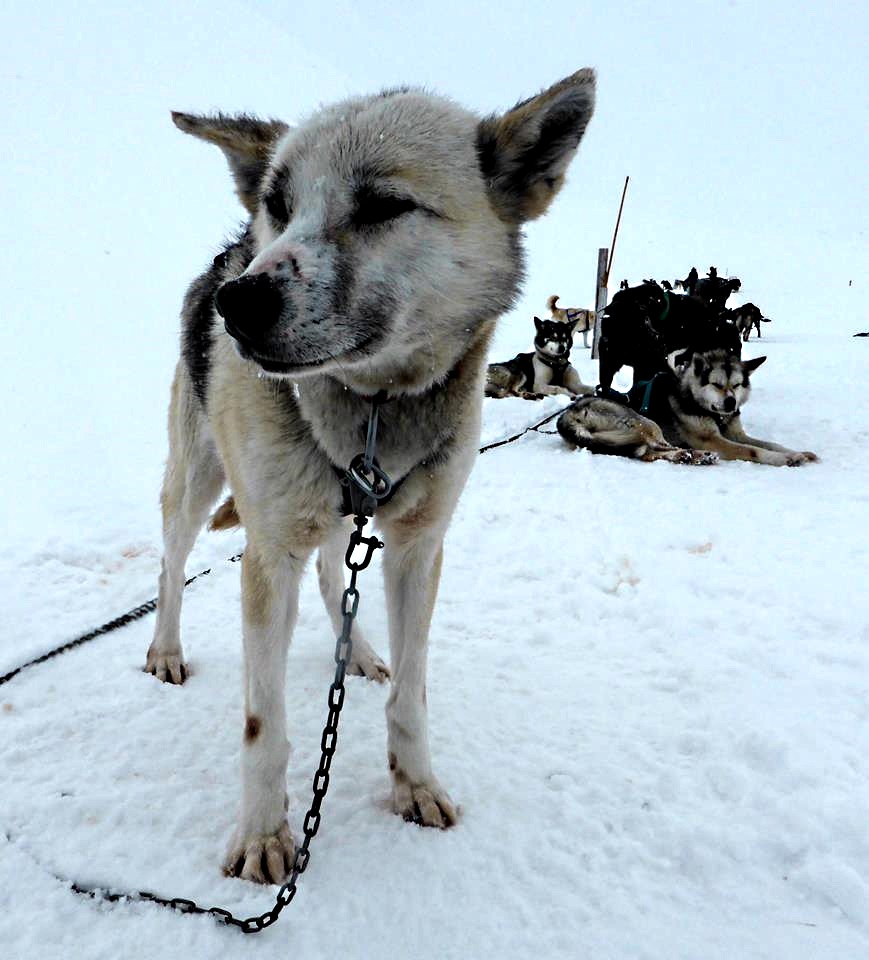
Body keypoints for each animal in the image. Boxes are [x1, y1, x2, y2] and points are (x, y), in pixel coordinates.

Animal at [146, 71, 596, 880]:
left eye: (385, 204)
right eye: (280, 204)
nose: (241, 301)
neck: (373, 410)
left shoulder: (418, 548)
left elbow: (411, 695)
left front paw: (413, 784)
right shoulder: (269, 557)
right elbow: (264, 725)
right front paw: (261, 833)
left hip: (335, 517)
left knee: (334, 574)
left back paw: (354, 651)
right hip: (194, 484)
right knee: (170, 565)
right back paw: (165, 651)